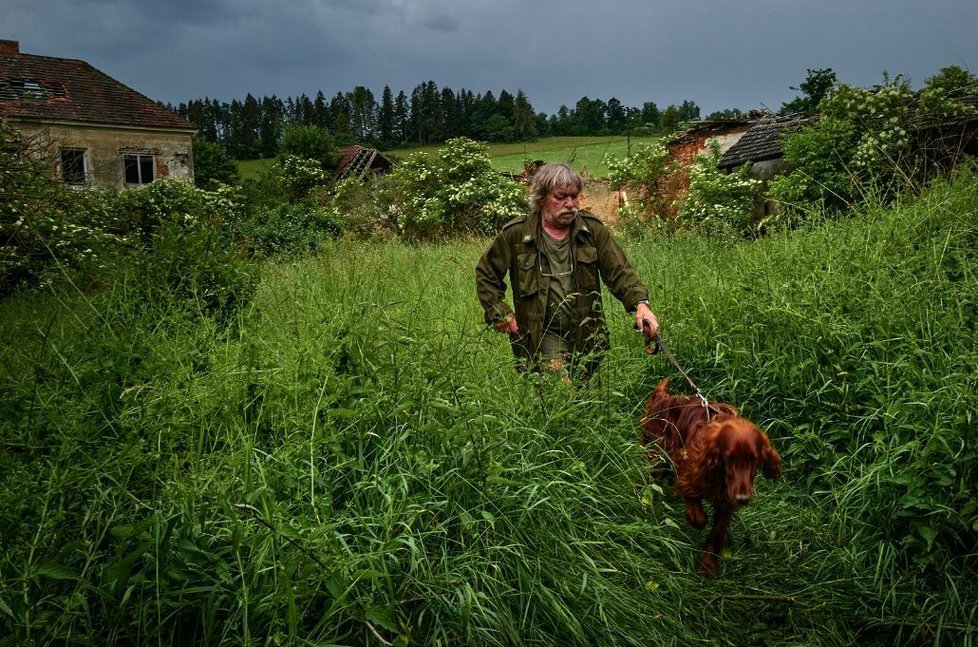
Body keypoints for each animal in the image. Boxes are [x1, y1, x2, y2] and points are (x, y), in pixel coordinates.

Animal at [640, 380, 776, 576]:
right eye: (729, 457)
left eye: (754, 459)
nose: (743, 499)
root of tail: (663, 398)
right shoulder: (688, 466)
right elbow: (696, 509)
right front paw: (697, 519)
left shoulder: (728, 498)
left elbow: (718, 531)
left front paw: (707, 564)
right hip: (657, 455)